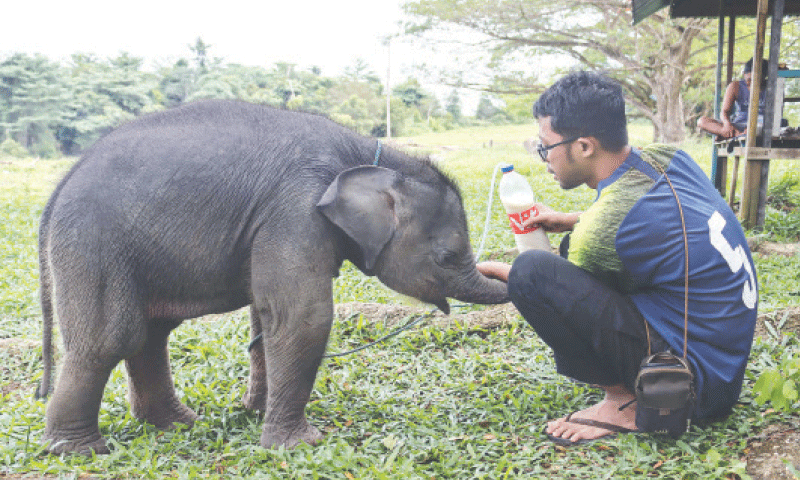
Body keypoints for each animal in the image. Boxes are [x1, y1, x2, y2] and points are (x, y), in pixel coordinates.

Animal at [36, 99, 509, 455]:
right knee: (111, 339)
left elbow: (266, 316)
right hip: (94, 246)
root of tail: (60, 186)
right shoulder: (295, 210)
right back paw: (78, 450)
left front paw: (256, 413)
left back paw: (177, 424)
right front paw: (299, 445)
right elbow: (303, 317)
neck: (369, 156)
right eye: (447, 257)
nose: (503, 270)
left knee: (150, 334)